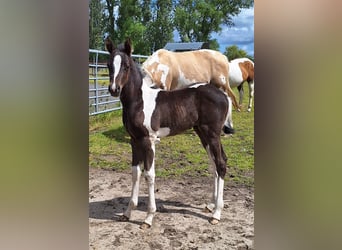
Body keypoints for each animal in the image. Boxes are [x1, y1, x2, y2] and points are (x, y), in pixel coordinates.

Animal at [105, 38, 231, 229]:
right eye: (108, 65)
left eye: (126, 66)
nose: (114, 89)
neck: (139, 101)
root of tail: (223, 95)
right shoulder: (134, 141)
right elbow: (135, 173)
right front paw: (127, 213)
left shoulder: (149, 140)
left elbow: (149, 174)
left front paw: (148, 218)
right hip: (203, 133)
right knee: (214, 163)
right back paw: (210, 205)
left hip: (213, 134)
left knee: (221, 163)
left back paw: (216, 213)